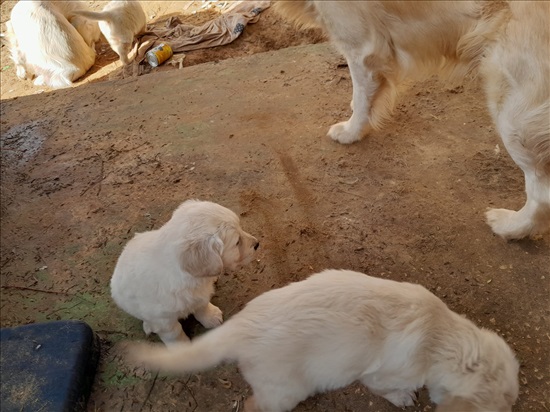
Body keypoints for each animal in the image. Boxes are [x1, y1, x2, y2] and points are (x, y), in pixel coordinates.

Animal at [112, 200, 260, 344]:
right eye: (237, 242)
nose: (257, 244)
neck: (194, 278)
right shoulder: (164, 321)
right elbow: (175, 335)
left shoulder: (200, 296)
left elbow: (202, 306)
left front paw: (211, 317)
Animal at [129, 268, 520, 412]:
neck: (443, 338)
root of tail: (243, 325)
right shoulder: (381, 376)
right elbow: (390, 389)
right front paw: (405, 398)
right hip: (285, 391)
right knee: (257, 405)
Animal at [276, 0, 550, 240]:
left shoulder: (362, 46)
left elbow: (363, 96)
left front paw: (351, 131)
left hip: (514, 111)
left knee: (541, 194)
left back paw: (509, 227)